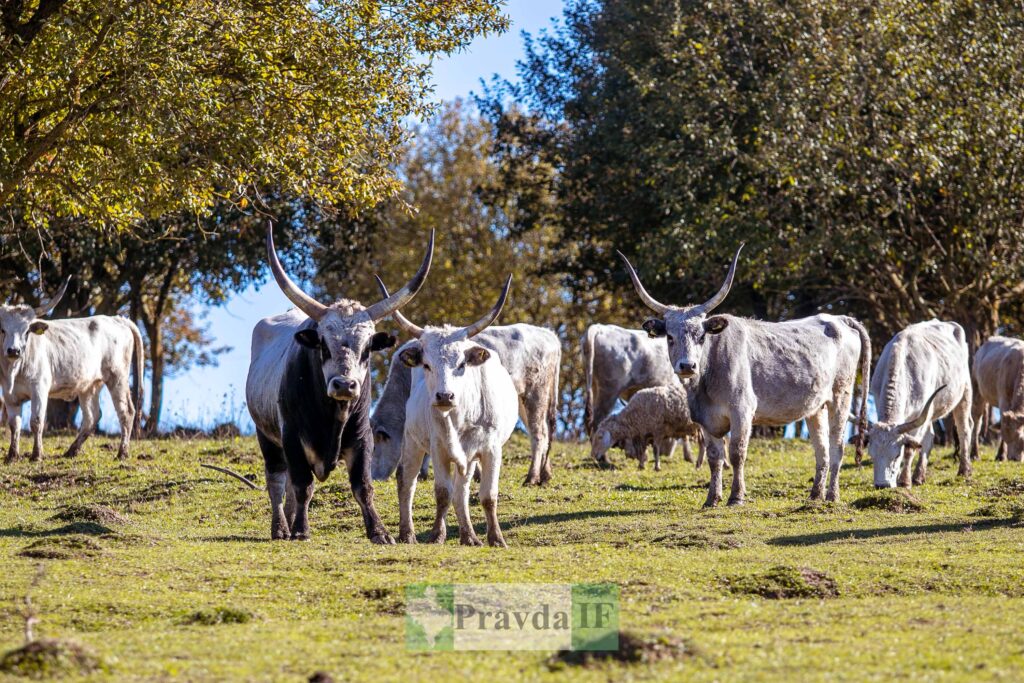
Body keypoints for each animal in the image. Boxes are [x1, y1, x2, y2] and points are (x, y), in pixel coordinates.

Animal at [245, 222, 434, 540]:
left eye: (368, 348)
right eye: (323, 345)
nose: (345, 385)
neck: (332, 416)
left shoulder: (362, 437)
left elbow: (363, 486)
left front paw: (379, 532)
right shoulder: (291, 435)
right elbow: (302, 485)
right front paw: (301, 530)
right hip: (267, 436)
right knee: (277, 482)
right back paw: (282, 527)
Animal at [372, 319, 561, 485]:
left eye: (375, 446)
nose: (375, 477)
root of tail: (548, 334)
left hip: (536, 394)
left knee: (539, 434)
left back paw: (532, 477)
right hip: (523, 400)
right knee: (543, 433)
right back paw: (545, 475)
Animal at [618, 248, 868, 505]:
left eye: (701, 336)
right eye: (669, 337)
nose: (687, 365)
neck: (706, 381)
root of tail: (840, 319)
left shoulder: (742, 410)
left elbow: (737, 453)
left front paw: (736, 496)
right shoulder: (705, 419)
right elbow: (715, 457)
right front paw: (712, 498)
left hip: (841, 395)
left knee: (837, 445)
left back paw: (832, 495)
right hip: (815, 406)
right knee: (821, 449)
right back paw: (815, 495)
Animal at [864, 321, 974, 485]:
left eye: (896, 455)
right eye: (872, 455)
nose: (882, 485)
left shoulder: (920, 414)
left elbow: (910, 448)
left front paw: (904, 481)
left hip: (964, 393)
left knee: (964, 430)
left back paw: (964, 470)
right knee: (929, 437)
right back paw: (918, 476)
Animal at [970, 333, 1024, 462]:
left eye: (1021, 438)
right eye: (1007, 435)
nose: (1014, 458)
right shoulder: (1003, 398)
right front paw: (1001, 455)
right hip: (977, 390)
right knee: (976, 423)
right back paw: (974, 454)